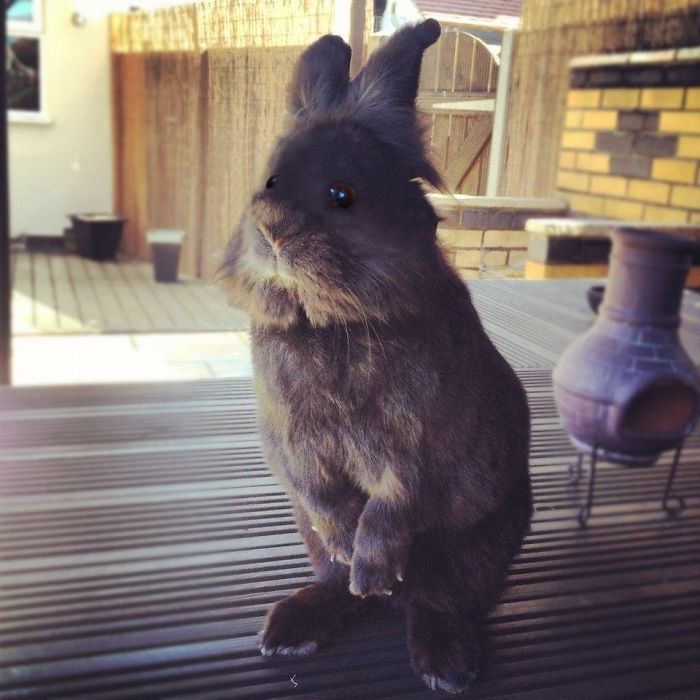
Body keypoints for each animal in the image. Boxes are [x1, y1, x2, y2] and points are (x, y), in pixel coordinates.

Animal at [219, 19, 532, 695]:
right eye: (268, 181)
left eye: (343, 193)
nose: (272, 229)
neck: (330, 324)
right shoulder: (294, 442)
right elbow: (325, 496)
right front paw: (352, 554)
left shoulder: (421, 443)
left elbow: (395, 503)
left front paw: (374, 569)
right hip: (309, 536)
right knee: (339, 586)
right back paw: (294, 627)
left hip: (475, 548)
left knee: (438, 599)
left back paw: (441, 659)